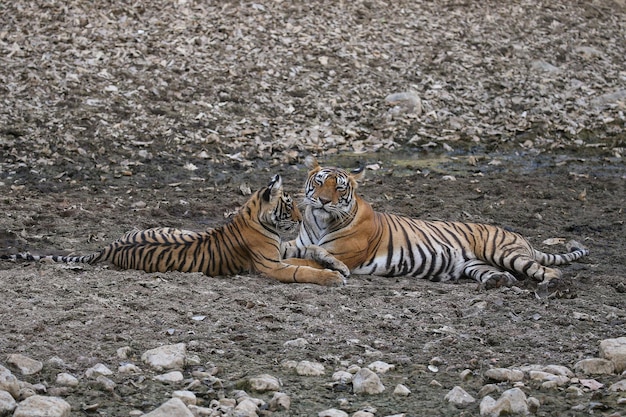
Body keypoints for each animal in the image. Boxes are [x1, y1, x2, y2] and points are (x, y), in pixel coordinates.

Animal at [1, 175, 346, 286]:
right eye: (288, 205)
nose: (300, 218)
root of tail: (110, 246)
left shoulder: (282, 249)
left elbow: (312, 250)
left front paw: (338, 265)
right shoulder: (272, 265)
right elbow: (303, 269)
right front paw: (332, 277)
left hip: (170, 226)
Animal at [280, 154, 588, 288]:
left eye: (340, 187)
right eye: (320, 183)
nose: (323, 201)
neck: (320, 221)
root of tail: (522, 237)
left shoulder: (345, 253)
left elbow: (310, 256)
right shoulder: (299, 242)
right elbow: (294, 249)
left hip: (503, 252)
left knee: (549, 271)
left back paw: (552, 287)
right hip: (475, 264)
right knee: (505, 275)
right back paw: (497, 282)